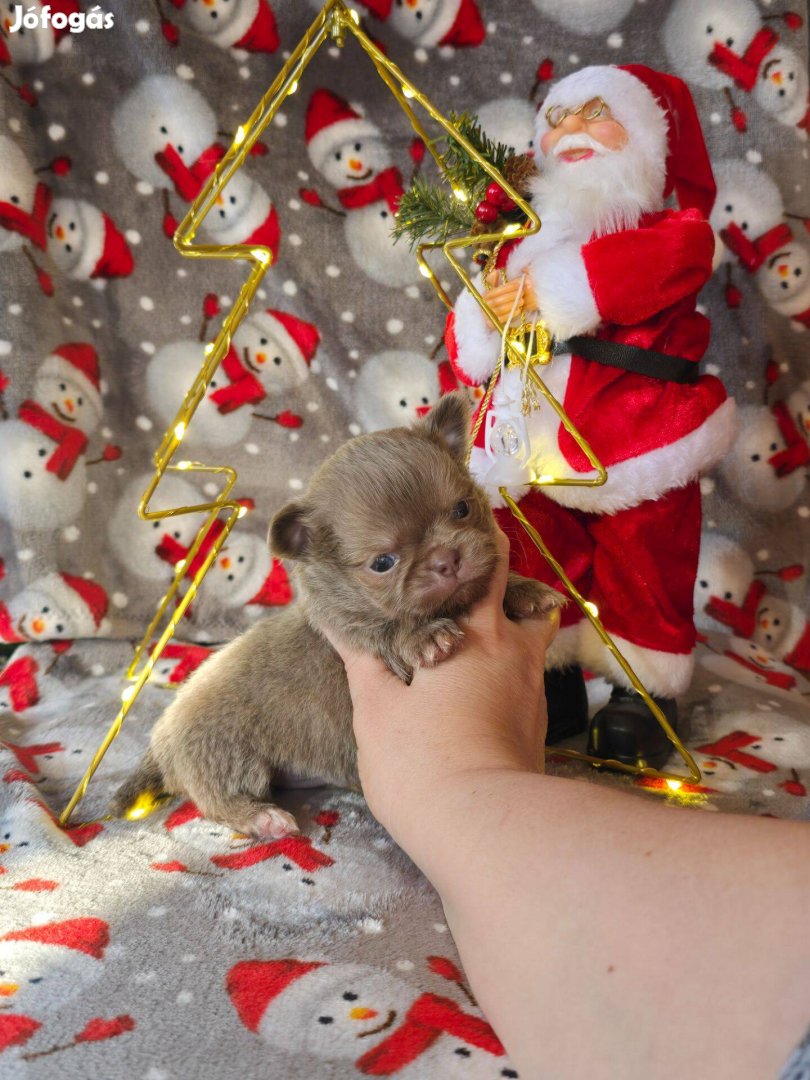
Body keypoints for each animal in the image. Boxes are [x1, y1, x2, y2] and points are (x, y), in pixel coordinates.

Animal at [115, 393, 565, 838]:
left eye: (462, 509)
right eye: (382, 563)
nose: (446, 559)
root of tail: (161, 739)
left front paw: (526, 590)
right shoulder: (357, 633)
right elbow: (391, 631)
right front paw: (424, 636)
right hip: (224, 754)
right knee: (217, 799)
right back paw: (262, 818)